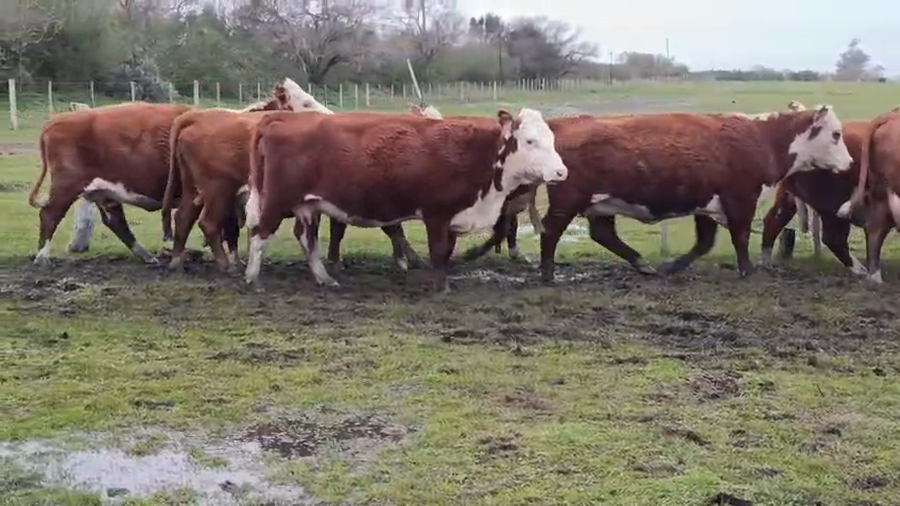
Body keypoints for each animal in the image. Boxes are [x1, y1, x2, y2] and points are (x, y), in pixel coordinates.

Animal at [27, 78, 310, 266]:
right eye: (306, 102)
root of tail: (56, 121)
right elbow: (225, 228)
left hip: (104, 192)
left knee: (117, 222)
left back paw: (147, 256)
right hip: (67, 185)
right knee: (50, 215)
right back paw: (42, 257)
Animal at [243, 109, 568, 292]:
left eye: (552, 140)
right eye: (530, 141)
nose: (561, 172)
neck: (479, 152)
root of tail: (282, 118)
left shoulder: (452, 217)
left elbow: (446, 253)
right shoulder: (436, 215)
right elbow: (438, 252)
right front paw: (441, 288)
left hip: (308, 205)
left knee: (306, 238)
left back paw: (325, 279)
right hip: (277, 201)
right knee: (260, 234)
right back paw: (252, 279)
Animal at [538, 106, 853, 282]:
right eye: (836, 134)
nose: (850, 163)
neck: (763, 138)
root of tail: (564, 122)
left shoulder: (708, 206)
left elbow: (704, 243)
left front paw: (673, 267)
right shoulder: (740, 200)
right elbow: (740, 236)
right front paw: (746, 270)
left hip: (601, 203)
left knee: (603, 234)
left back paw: (642, 265)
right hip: (568, 200)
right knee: (550, 231)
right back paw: (548, 274)